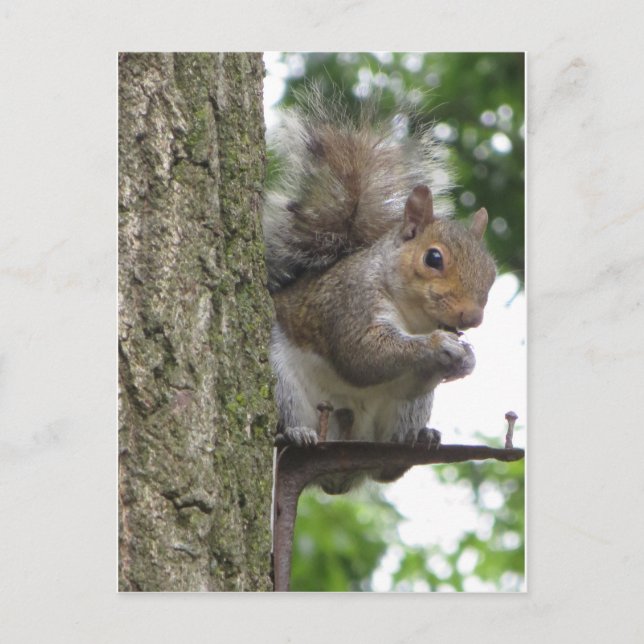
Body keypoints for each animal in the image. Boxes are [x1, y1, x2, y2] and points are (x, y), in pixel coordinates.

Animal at [263, 90, 497, 493]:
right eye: (433, 258)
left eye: (492, 273)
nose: (472, 317)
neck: (413, 317)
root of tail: (339, 478)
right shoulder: (351, 301)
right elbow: (363, 354)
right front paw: (437, 345)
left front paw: (467, 359)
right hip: (283, 383)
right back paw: (297, 434)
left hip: (408, 409)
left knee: (387, 467)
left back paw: (418, 440)